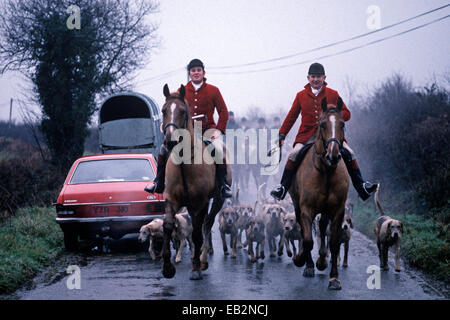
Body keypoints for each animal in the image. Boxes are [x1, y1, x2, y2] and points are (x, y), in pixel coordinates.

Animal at [159, 83, 230, 280]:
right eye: (163, 110)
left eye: (182, 111)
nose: (170, 141)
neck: (184, 162)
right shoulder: (171, 200)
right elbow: (167, 225)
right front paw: (167, 267)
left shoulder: (202, 202)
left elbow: (198, 233)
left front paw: (197, 268)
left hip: (217, 200)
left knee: (207, 224)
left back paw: (203, 258)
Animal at [288, 96, 352, 288]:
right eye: (322, 124)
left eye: (342, 124)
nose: (333, 155)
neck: (327, 170)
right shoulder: (306, 209)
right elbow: (307, 240)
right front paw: (301, 260)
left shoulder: (338, 211)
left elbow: (334, 243)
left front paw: (334, 277)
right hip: (297, 205)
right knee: (305, 231)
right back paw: (309, 264)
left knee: (323, 226)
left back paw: (322, 259)